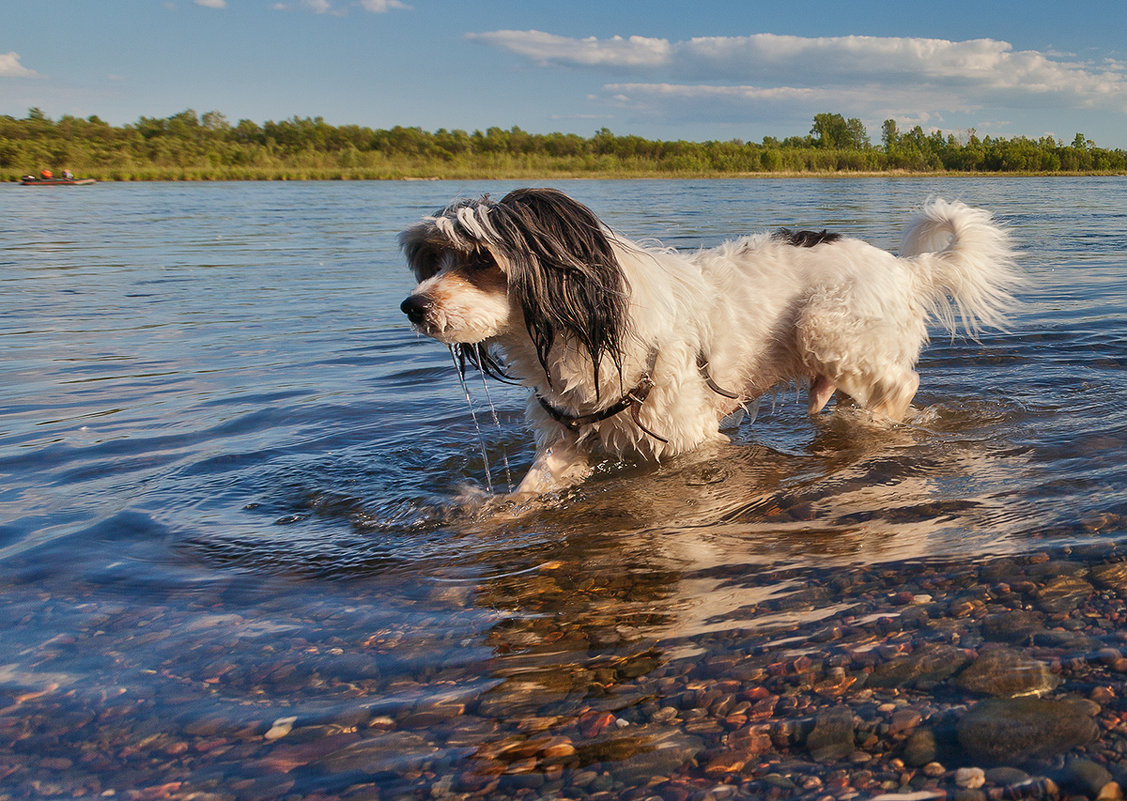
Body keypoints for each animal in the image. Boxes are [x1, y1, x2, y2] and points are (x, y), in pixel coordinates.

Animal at [398, 190, 1023, 497]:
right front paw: (488, 516)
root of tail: (906, 268)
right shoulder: (564, 443)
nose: (412, 306)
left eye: (481, 258)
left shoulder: (690, 440)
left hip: (828, 329)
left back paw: (877, 427)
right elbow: (526, 495)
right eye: (434, 259)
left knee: (903, 386)